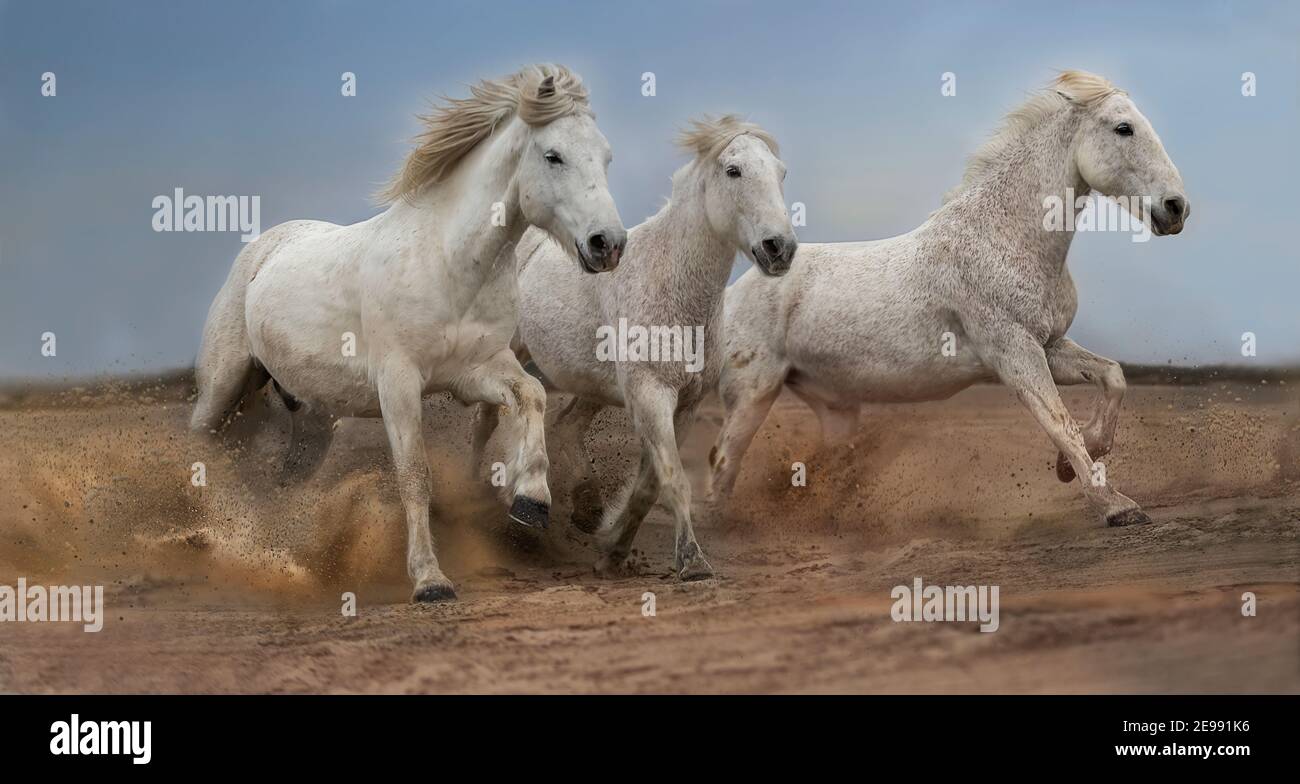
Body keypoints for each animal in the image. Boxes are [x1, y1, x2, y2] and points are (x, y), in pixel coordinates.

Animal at [189, 67, 629, 603]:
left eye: (605, 156)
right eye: (553, 155)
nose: (608, 244)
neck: (448, 262)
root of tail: (258, 253)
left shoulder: (477, 370)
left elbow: (533, 395)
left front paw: (531, 502)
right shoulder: (398, 383)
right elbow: (415, 477)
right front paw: (429, 580)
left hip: (313, 423)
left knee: (284, 483)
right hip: (223, 386)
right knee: (200, 450)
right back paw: (200, 536)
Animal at [478, 116, 795, 579]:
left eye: (781, 172)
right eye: (733, 170)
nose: (780, 248)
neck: (672, 285)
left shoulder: (685, 404)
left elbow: (649, 484)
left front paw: (612, 550)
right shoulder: (652, 393)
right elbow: (673, 477)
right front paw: (692, 562)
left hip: (588, 386)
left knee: (566, 426)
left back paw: (586, 506)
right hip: (511, 353)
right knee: (487, 421)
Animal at [712, 72, 1190, 527]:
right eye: (1124, 128)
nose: (1176, 208)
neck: (1003, 238)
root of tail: (730, 297)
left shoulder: (1049, 346)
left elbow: (1112, 378)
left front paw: (1073, 465)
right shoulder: (1015, 355)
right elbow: (1060, 423)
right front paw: (1116, 506)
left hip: (831, 404)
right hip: (754, 392)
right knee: (721, 462)